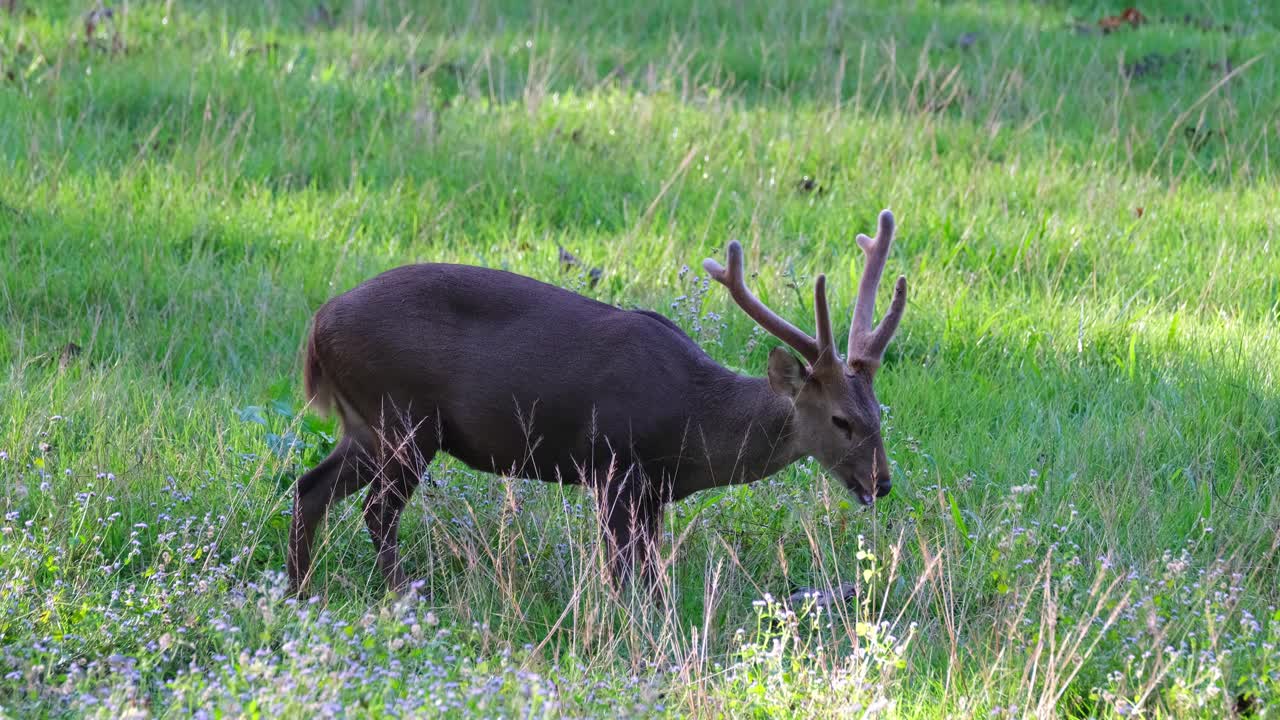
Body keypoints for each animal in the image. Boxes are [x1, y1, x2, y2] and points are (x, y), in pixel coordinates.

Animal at [288, 209, 907, 594]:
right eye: (841, 421)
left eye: (879, 415)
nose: (881, 482)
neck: (692, 421)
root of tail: (317, 328)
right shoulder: (614, 463)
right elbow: (622, 571)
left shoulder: (653, 490)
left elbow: (650, 570)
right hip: (405, 416)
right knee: (377, 510)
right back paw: (400, 594)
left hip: (367, 424)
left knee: (308, 486)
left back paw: (300, 588)